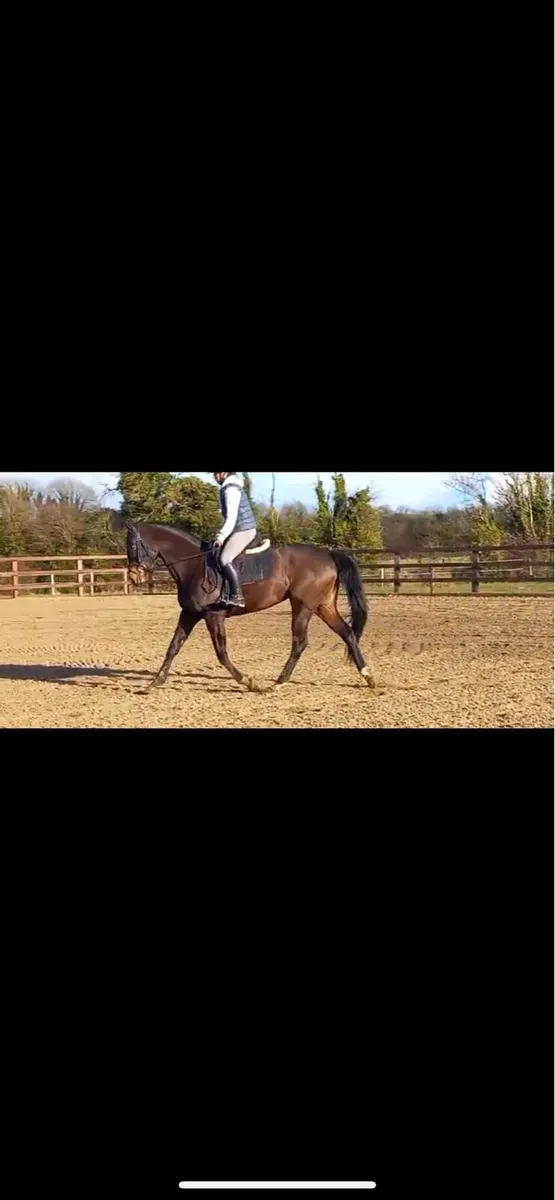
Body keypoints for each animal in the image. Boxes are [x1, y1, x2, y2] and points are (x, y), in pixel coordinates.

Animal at [125, 521, 376, 692]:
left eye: (133, 546)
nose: (134, 577)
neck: (194, 564)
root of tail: (328, 554)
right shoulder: (189, 613)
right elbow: (173, 647)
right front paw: (153, 683)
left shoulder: (213, 615)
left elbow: (221, 653)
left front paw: (248, 681)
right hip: (323, 606)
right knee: (347, 633)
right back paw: (368, 676)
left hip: (303, 605)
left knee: (300, 642)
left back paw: (277, 683)